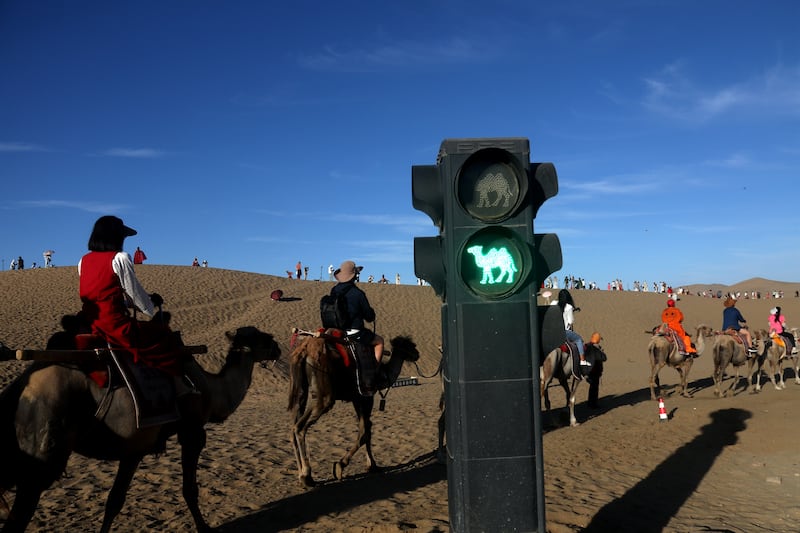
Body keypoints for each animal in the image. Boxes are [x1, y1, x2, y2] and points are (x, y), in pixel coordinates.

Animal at [0, 324, 282, 532]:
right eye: (263, 338)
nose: (278, 347)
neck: (213, 391)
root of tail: (20, 388)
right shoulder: (192, 432)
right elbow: (190, 490)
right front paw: (204, 528)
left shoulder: (134, 448)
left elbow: (114, 501)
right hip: (41, 456)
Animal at [290, 332, 422, 486]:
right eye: (410, 345)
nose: (417, 354)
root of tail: (304, 352)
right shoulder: (367, 396)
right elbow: (365, 432)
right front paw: (341, 466)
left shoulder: (357, 398)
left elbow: (367, 429)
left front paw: (372, 465)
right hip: (324, 395)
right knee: (300, 427)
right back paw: (306, 476)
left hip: (304, 393)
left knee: (294, 427)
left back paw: (302, 474)